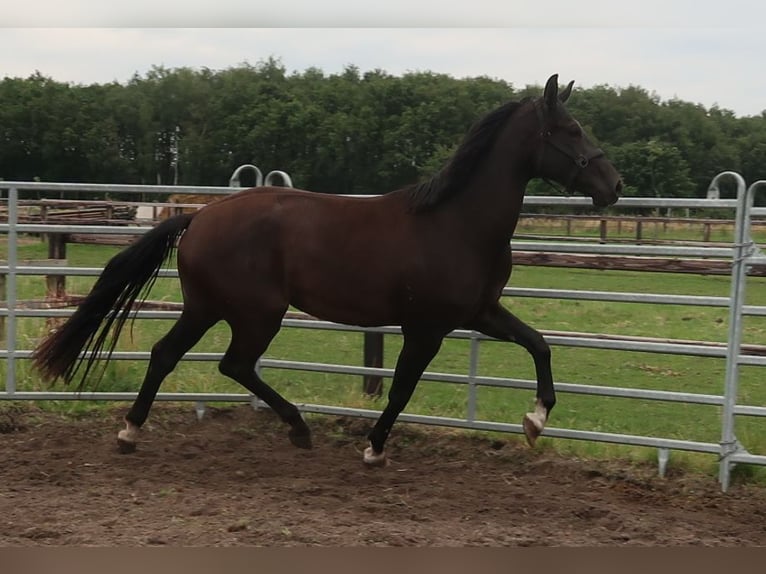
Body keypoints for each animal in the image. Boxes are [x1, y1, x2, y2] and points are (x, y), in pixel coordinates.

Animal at [31, 75, 624, 468]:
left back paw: (132, 433)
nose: (613, 185)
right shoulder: (426, 328)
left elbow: (539, 344)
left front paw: (535, 421)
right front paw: (374, 448)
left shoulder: (479, 312)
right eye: (571, 129)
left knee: (166, 355)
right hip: (257, 313)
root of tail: (198, 215)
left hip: (207, 307)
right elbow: (401, 388)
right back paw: (297, 427)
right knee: (232, 364)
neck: (455, 222)